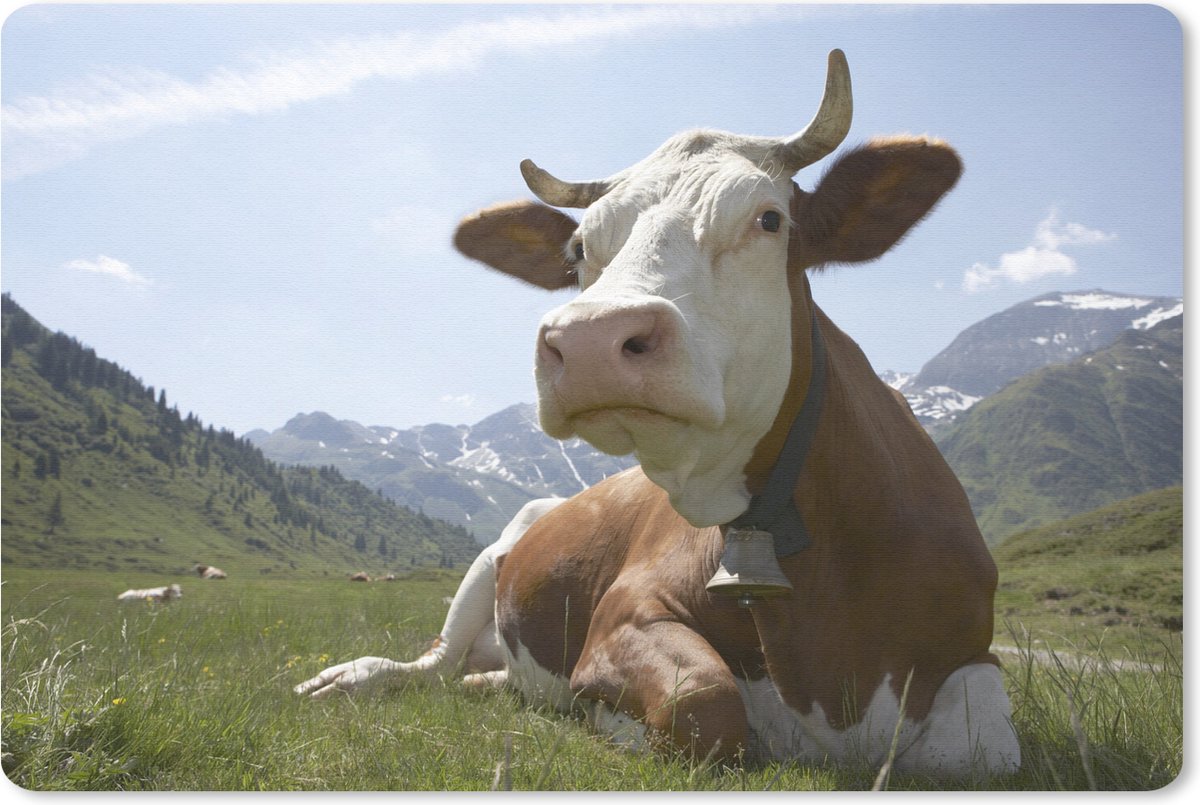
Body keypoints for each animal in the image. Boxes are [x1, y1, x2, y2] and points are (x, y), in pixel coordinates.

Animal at [296, 50, 1020, 777]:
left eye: (769, 220)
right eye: (578, 251)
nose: (590, 339)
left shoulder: (971, 658)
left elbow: (986, 750)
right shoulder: (625, 612)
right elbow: (704, 701)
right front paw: (608, 720)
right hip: (487, 562)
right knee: (429, 665)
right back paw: (352, 677)